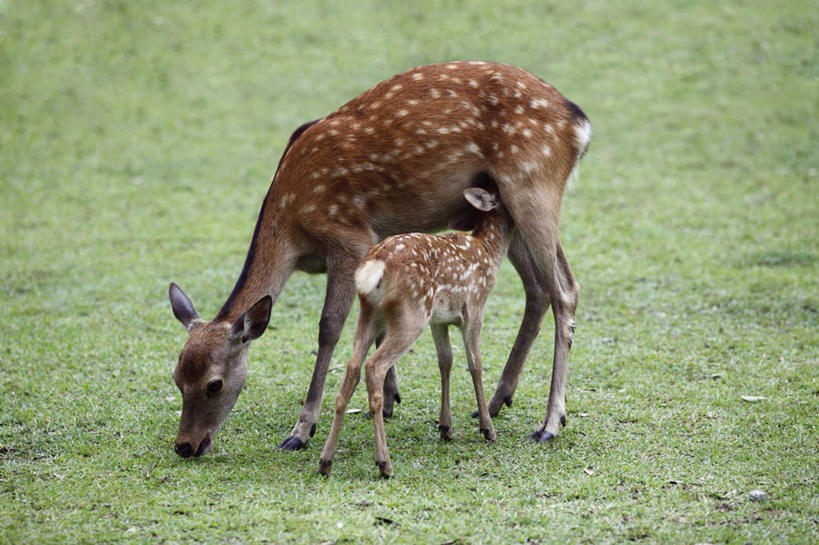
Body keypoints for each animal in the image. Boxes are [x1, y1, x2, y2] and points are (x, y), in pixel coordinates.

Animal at [168, 61, 588, 456]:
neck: (291, 227)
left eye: (214, 384)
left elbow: (329, 328)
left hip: (532, 185)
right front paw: (390, 399)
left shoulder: (349, 238)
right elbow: (379, 329)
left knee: (565, 290)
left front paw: (302, 430)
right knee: (538, 288)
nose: (185, 445)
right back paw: (500, 401)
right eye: (176, 376)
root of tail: (579, 123)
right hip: (502, 208)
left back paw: (550, 423)